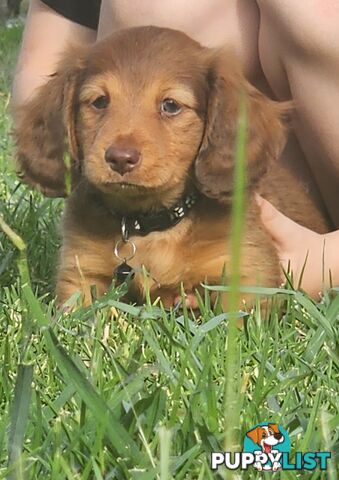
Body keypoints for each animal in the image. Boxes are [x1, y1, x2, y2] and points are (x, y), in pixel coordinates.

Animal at [13, 26, 330, 308]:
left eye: (171, 105)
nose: (120, 158)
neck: (150, 226)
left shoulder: (247, 275)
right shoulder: (81, 274)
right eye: (100, 101)